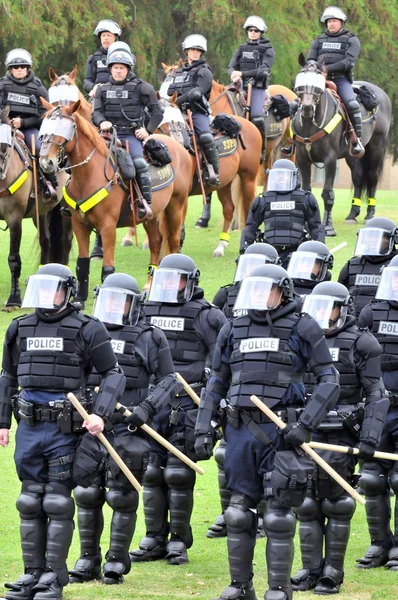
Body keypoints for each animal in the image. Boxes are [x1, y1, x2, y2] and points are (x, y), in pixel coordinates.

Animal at [39, 101, 193, 304]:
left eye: (66, 127)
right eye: (44, 128)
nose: (45, 162)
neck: (90, 174)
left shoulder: (107, 227)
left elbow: (108, 267)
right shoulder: (79, 224)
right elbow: (82, 264)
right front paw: (79, 298)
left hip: (176, 206)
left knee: (174, 242)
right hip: (151, 216)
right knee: (156, 242)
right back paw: (148, 285)